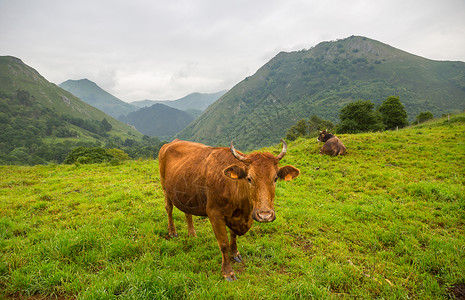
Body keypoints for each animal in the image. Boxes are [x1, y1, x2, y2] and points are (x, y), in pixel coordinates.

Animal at [158, 139, 300, 280]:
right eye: (249, 178)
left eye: (275, 178)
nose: (264, 215)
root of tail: (172, 142)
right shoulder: (215, 214)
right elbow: (223, 243)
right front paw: (227, 271)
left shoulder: (235, 216)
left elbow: (233, 235)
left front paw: (235, 253)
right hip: (165, 187)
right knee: (169, 209)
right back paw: (172, 232)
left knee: (187, 213)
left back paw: (192, 234)